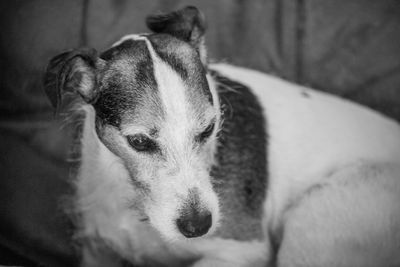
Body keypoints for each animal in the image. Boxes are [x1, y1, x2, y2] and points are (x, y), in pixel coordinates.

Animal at [43, 5, 400, 266]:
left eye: (208, 129)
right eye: (139, 142)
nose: (198, 227)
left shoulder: (243, 250)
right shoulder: (97, 248)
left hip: (314, 220)